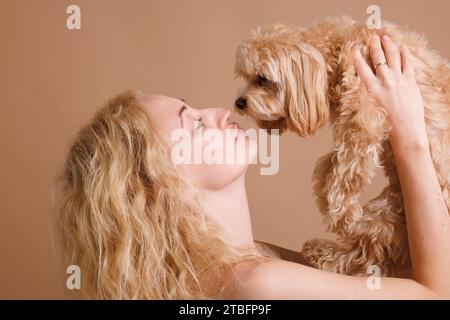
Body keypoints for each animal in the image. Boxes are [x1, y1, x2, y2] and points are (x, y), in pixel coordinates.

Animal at [234, 16, 448, 276]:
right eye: (245, 76)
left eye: (262, 79)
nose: (239, 103)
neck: (336, 51)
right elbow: (329, 166)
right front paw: (326, 200)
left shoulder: (364, 118)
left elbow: (347, 170)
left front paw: (342, 215)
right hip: (390, 211)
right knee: (368, 251)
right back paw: (322, 253)